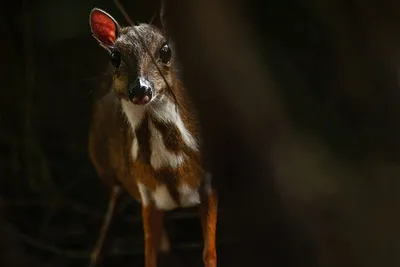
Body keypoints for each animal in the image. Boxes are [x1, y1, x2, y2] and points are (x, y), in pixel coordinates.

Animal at [88, 5, 219, 267]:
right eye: (115, 56)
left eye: (165, 51)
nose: (140, 89)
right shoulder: (146, 194)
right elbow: (150, 255)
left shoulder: (210, 184)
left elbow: (209, 252)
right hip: (105, 166)